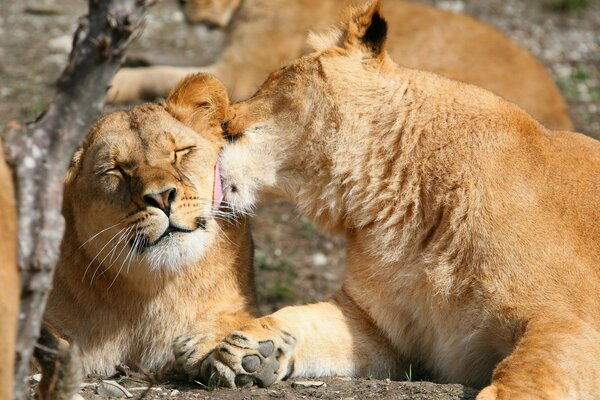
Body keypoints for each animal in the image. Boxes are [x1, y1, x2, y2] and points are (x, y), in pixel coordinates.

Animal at [41, 73, 258, 376]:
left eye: (180, 152)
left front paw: (223, 348)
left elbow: (238, 320)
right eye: (116, 169)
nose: (161, 197)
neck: (154, 294)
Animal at [179, 1, 600, 398]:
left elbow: (530, 375)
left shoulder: (570, 321)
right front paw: (247, 349)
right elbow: (304, 317)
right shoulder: (376, 327)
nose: (221, 115)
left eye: (274, 74)